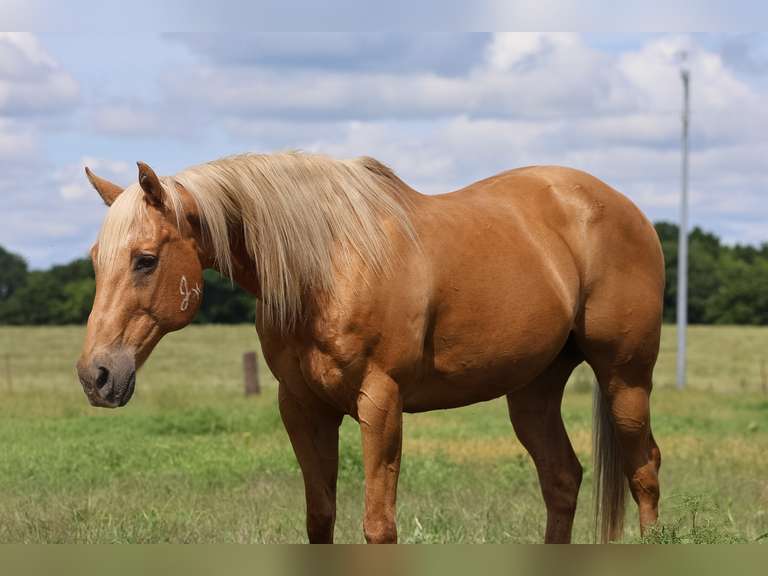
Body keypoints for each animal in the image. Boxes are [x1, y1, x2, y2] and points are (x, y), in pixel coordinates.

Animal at [76, 152, 663, 543]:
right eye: (95, 259)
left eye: (145, 259)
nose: (95, 375)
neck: (326, 267)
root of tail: (623, 207)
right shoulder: (302, 408)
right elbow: (320, 519)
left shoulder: (380, 402)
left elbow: (379, 526)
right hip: (534, 390)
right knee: (562, 479)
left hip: (625, 378)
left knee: (644, 470)